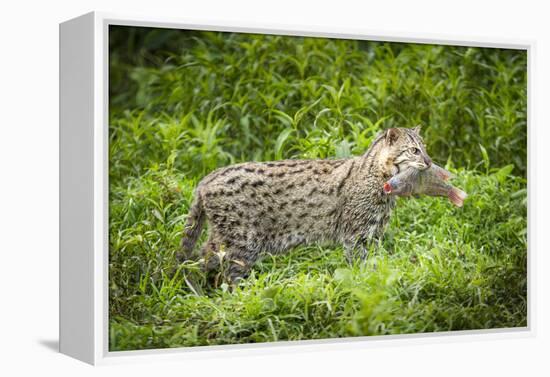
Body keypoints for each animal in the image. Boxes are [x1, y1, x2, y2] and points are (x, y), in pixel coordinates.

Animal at [179, 126, 434, 282]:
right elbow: (359, 264)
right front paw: (363, 282)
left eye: (425, 148)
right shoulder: (356, 235)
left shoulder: (375, 234)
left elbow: (377, 263)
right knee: (207, 266)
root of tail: (208, 177)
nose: (430, 162)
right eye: (414, 150)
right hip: (242, 241)